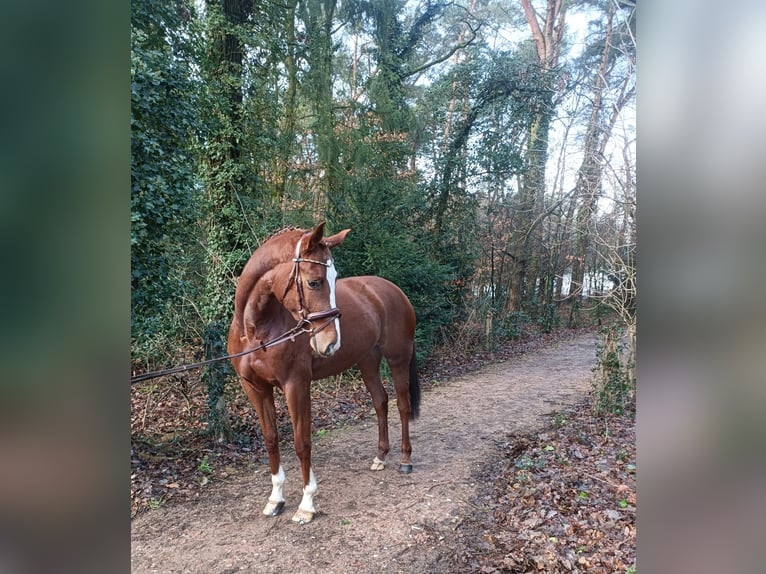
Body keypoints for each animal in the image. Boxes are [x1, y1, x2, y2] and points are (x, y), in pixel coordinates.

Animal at [228, 222, 424, 528]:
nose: (331, 342)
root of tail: (392, 290)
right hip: (368, 360)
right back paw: (380, 457)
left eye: (334, 278)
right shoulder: (255, 388)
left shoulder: (296, 385)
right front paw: (275, 499)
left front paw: (306, 504)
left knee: (402, 405)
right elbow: (271, 439)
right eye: (314, 282)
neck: (257, 330)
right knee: (380, 402)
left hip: (397, 359)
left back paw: (405, 459)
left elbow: (302, 443)